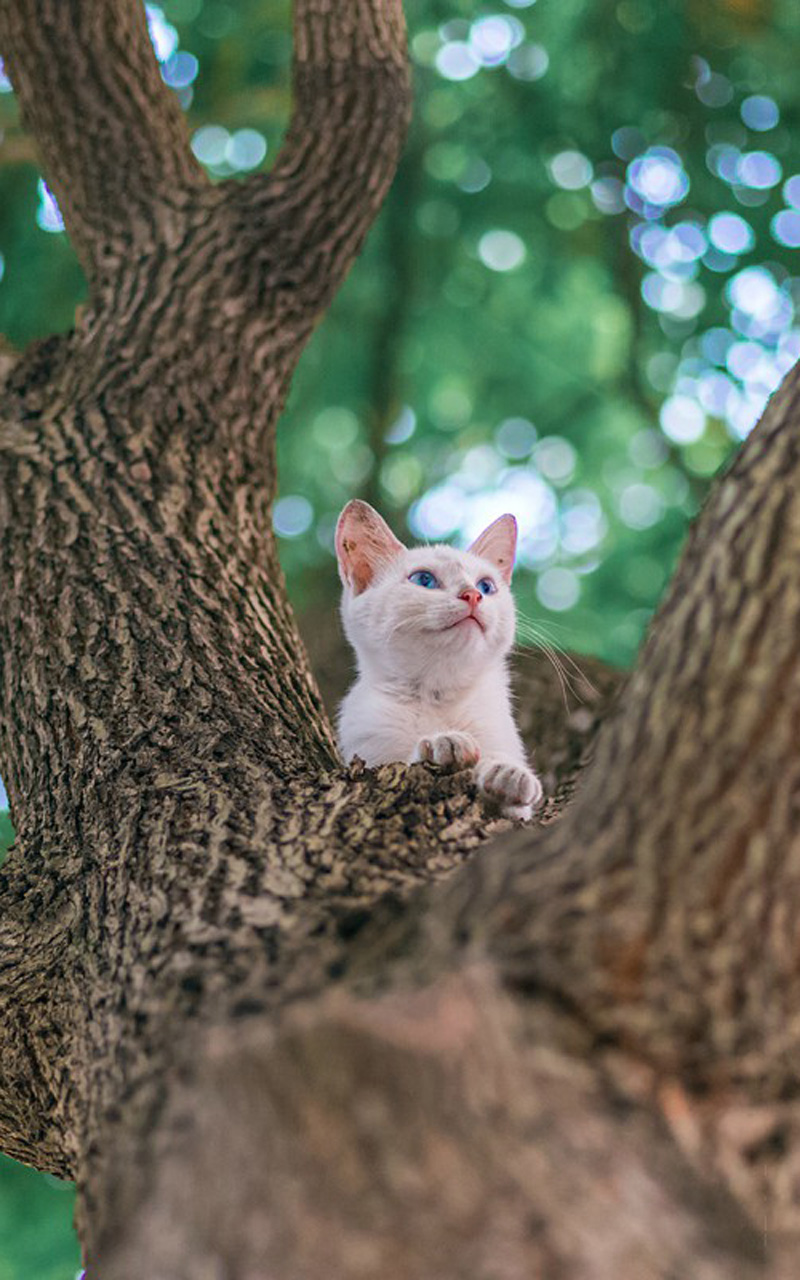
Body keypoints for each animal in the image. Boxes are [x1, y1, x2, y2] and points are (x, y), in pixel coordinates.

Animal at [330, 499, 542, 819]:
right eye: (424, 580)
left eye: (486, 586)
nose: (472, 595)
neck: (436, 696)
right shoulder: (367, 756)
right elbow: (397, 765)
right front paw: (444, 743)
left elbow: (516, 809)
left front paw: (508, 774)